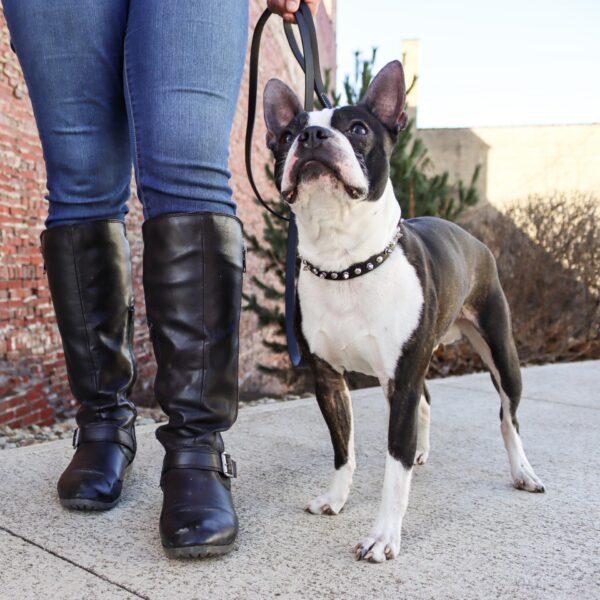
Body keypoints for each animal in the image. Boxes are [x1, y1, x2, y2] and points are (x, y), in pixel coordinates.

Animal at [262, 59, 544, 564]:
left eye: (357, 128)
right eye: (289, 133)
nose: (311, 136)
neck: (345, 263)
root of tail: (472, 237)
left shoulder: (402, 378)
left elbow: (394, 470)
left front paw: (383, 537)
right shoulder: (329, 378)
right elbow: (343, 449)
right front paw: (336, 498)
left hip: (501, 351)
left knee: (508, 416)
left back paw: (523, 472)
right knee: (429, 404)